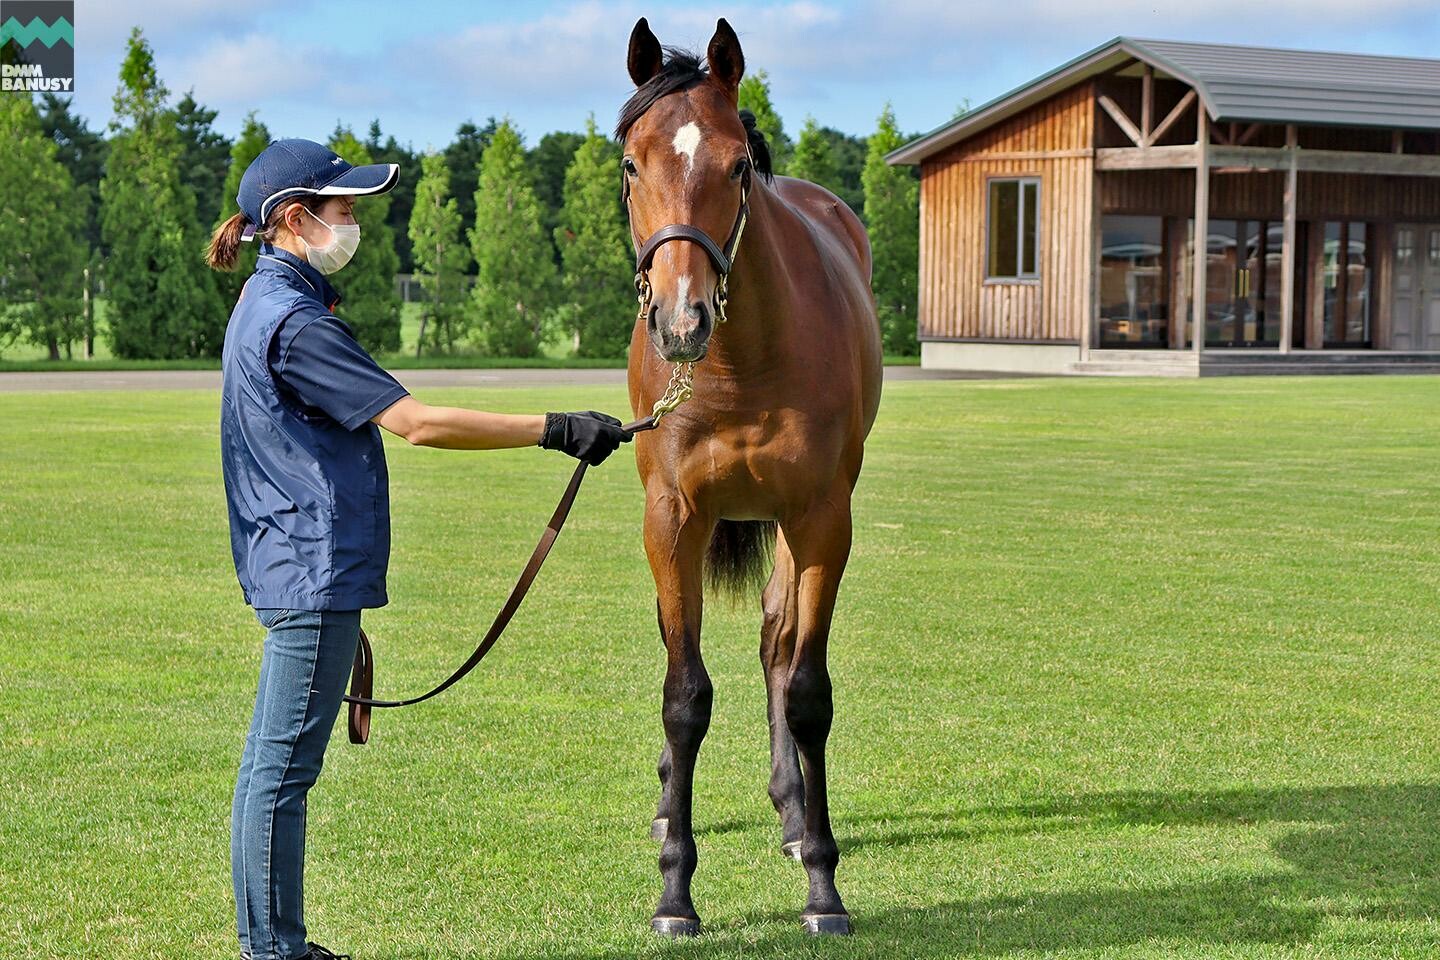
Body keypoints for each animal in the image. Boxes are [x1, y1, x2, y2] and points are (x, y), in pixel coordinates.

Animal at [616, 16, 881, 938]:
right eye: (630, 165)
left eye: (736, 165)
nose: (681, 319)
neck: (738, 365)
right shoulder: (673, 517)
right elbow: (683, 692)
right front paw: (673, 888)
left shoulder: (820, 518)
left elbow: (805, 689)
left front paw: (824, 885)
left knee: (776, 639)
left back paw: (795, 814)